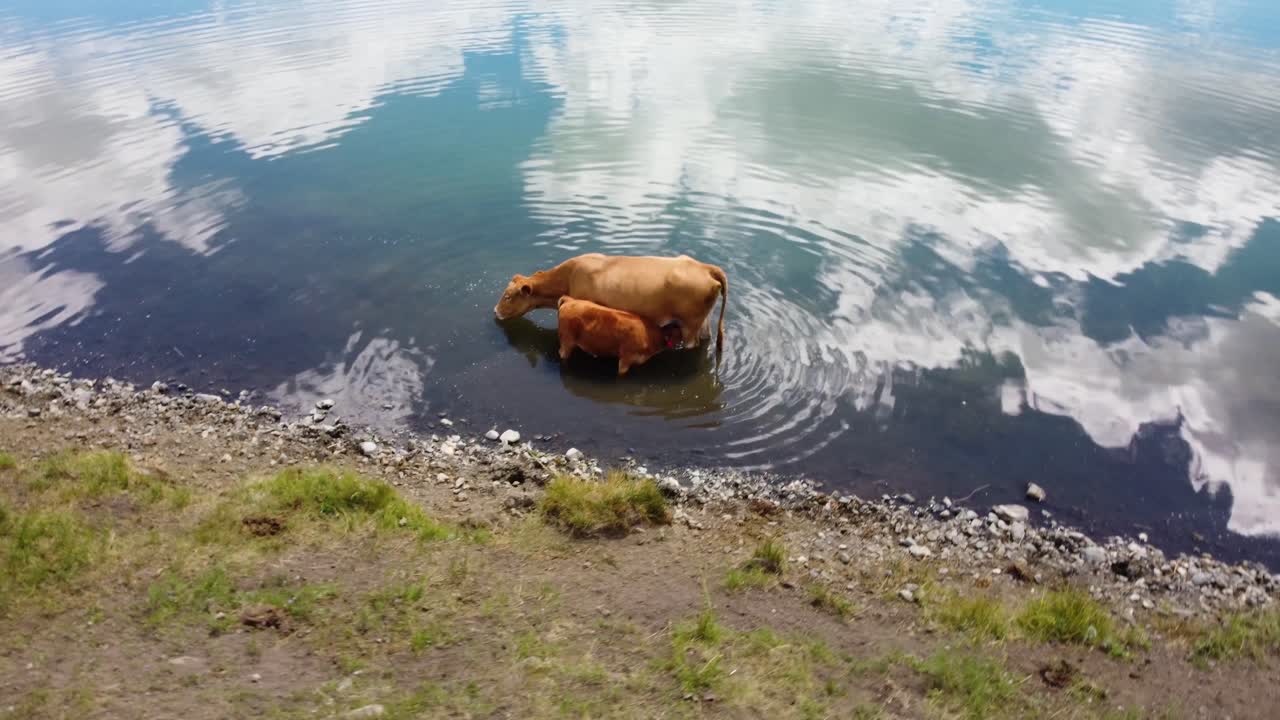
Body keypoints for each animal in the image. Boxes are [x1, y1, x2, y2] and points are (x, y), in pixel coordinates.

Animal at [493, 253, 728, 354]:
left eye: (508, 296)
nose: (495, 311)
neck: (569, 276)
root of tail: (705, 267)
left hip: (690, 325)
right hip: (703, 322)